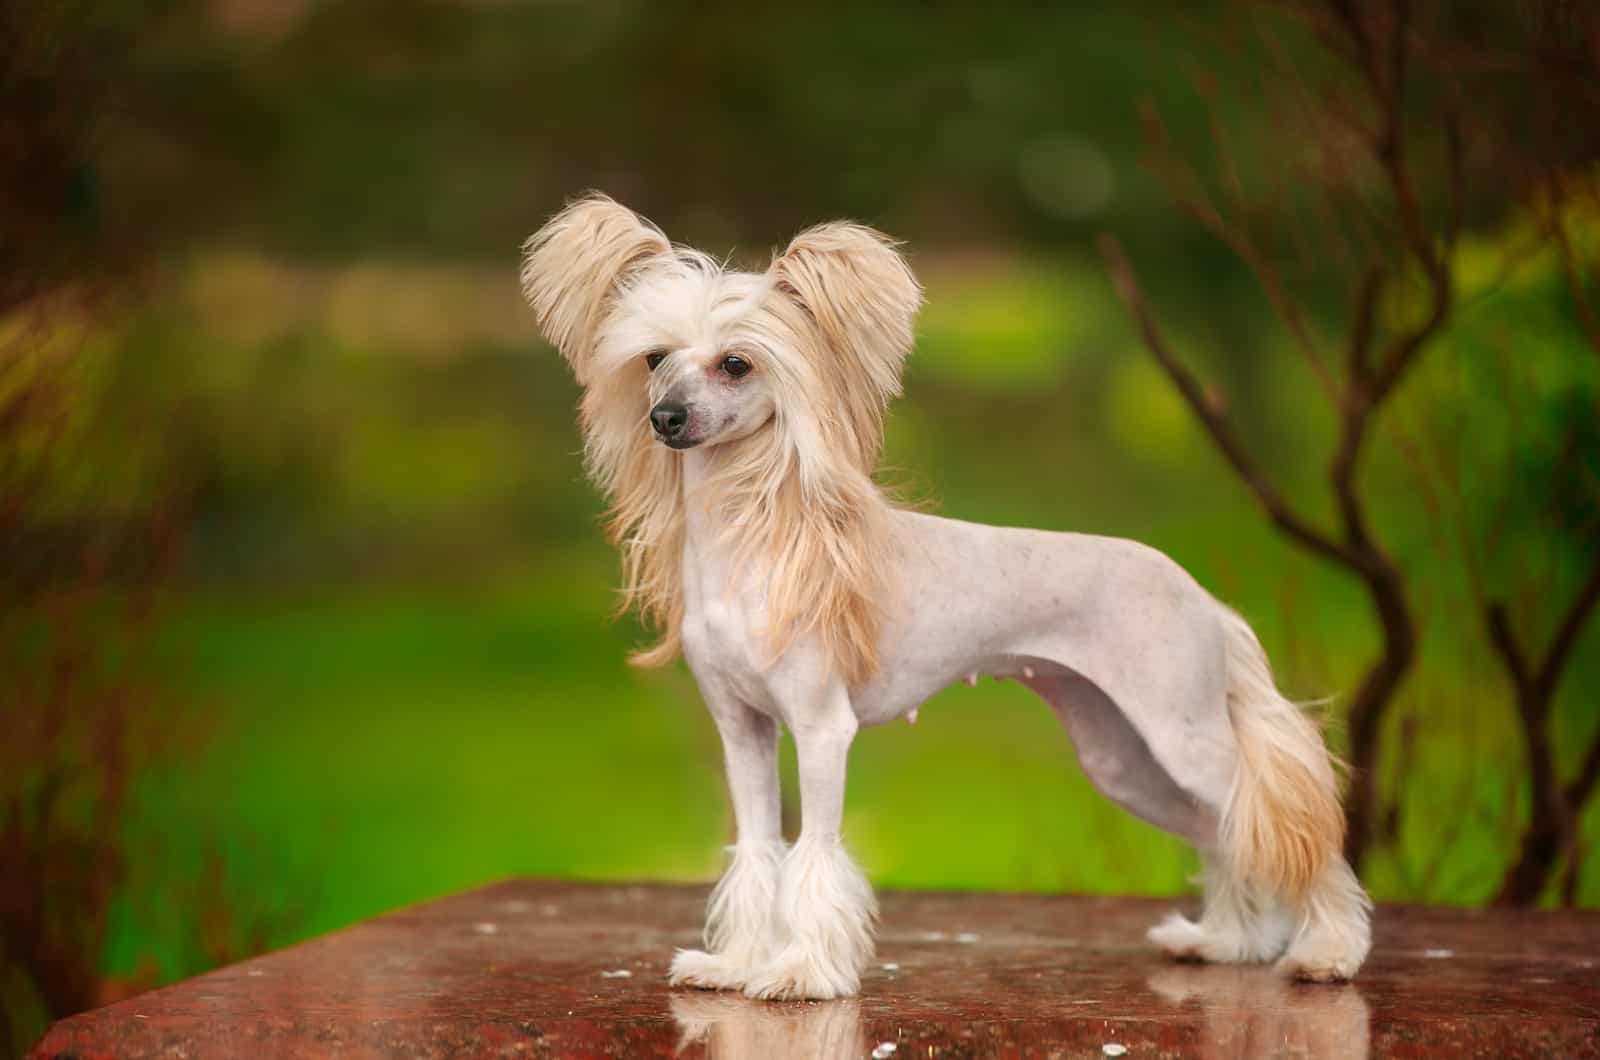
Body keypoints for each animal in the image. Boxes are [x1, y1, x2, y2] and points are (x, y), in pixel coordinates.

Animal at [518, 195, 1369, 999]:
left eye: (736, 364)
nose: (664, 418)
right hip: (1122, 755)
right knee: (1223, 832)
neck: (751, 544)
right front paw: (737, 964)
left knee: (1292, 833)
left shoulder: (821, 730)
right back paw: (1227, 941)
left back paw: (1325, 951)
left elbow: (815, 852)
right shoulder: (743, 731)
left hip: (1184, 737)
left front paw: (802, 974)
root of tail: (1205, 600)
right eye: (655, 358)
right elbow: (760, 850)